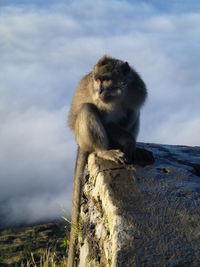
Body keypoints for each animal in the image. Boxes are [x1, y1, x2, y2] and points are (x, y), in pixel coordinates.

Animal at [67, 55, 150, 266]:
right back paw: (104, 151)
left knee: (133, 114)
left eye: (105, 79)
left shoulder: (137, 91)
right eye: (97, 80)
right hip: (84, 136)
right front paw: (128, 143)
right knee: (88, 109)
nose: (99, 90)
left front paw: (133, 147)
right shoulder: (102, 103)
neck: (117, 96)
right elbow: (106, 122)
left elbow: (132, 112)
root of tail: (80, 143)